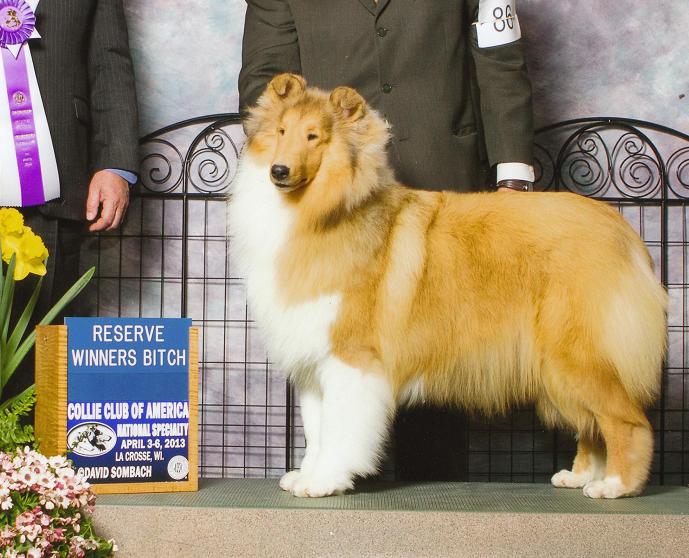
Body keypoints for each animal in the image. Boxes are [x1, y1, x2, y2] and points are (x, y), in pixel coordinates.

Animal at [228, 73, 667, 499]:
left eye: (313, 136)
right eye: (281, 131)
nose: (279, 172)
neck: (318, 211)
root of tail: (622, 230)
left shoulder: (351, 355)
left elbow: (339, 430)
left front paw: (325, 481)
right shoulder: (314, 360)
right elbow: (317, 430)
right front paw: (307, 475)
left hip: (577, 353)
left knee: (628, 421)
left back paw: (615, 485)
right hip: (555, 365)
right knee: (591, 425)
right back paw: (579, 477)